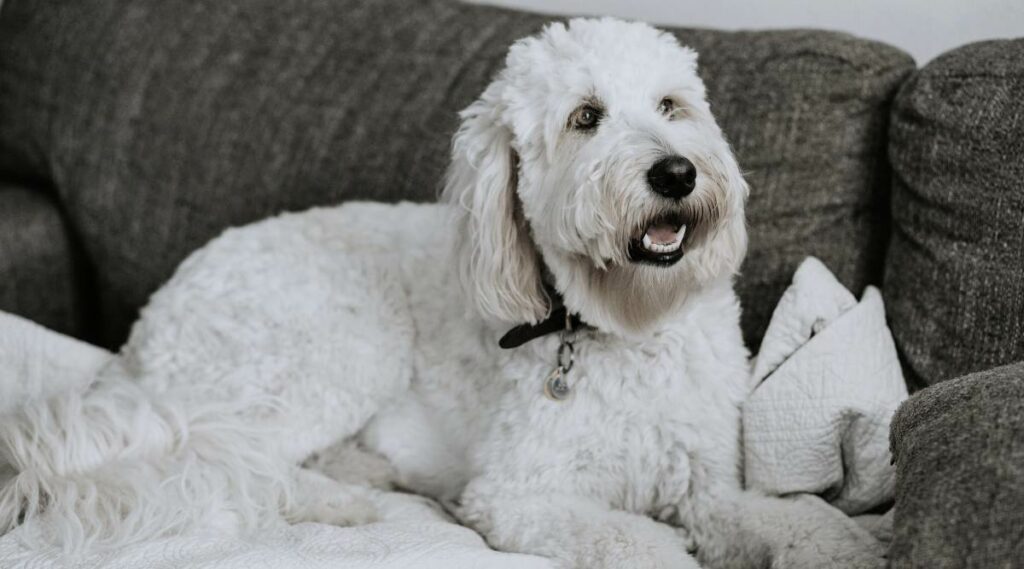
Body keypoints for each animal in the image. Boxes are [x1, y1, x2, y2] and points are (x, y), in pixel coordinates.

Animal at [2, 17, 872, 569]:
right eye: (585, 117)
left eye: (671, 106)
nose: (677, 172)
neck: (617, 327)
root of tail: (145, 332)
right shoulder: (518, 495)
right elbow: (635, 540)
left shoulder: (705, 482)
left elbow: (793, 515)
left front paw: (843, 546)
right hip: (334, 349)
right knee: (229, 457)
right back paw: (340, 503)